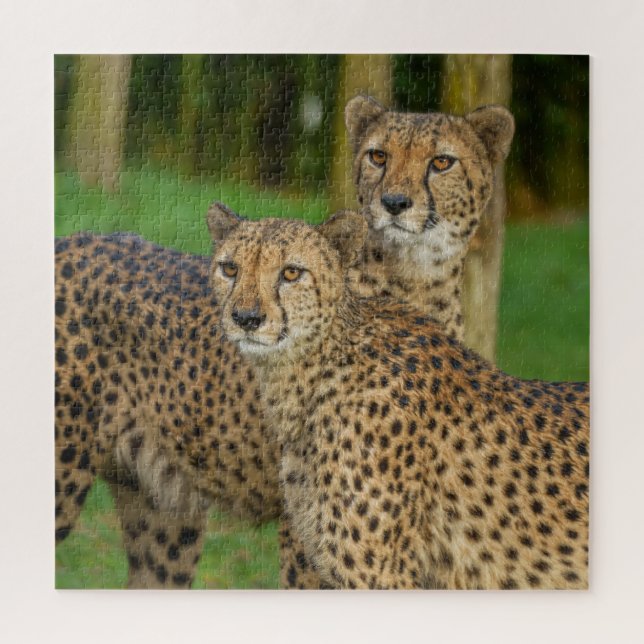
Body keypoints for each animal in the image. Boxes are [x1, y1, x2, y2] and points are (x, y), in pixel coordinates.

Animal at [55, 96, 515, 588]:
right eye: (378, 156)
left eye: (441, 162)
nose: (394, 203)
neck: (414, 279)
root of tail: (70, 240)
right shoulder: (306, 532)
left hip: (162, 512)